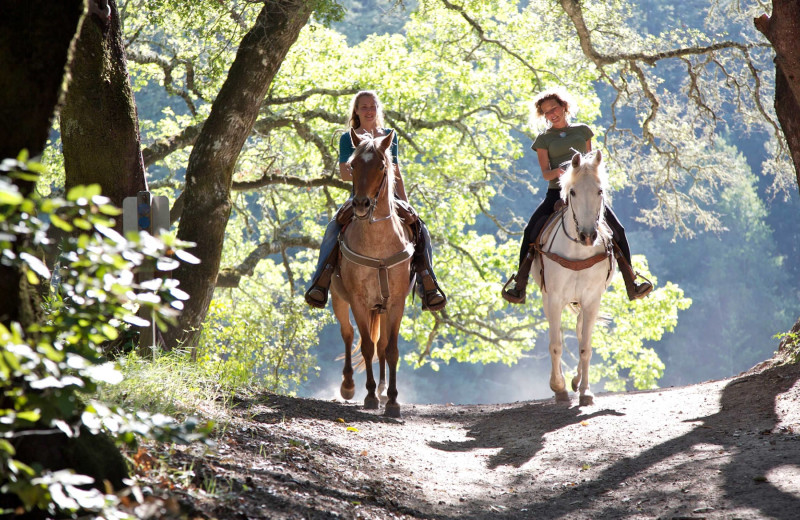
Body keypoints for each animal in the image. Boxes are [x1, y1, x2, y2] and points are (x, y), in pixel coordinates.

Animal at [328, 129, 412, 418]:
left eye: (382, 166)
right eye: (353, 165)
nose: (362, 204)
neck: (378, 247)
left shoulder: (396, 303)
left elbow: (392, 349)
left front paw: (393, 401)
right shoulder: (358, 301)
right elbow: (365, 345)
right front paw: (369, 396)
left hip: (382, 308)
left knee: (383, 345)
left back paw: (384, 390)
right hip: (338, 299)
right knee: (348, 334)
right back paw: (349, 386)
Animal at [536, 150, 616, 406]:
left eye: (599, 190)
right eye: (572, 192)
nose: (588, 236)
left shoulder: (592, 300)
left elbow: (585, 347)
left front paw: (585, 392)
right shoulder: (553, 298)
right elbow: (555, 345)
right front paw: (558, 387)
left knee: (581, 332)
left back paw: (577, 381)